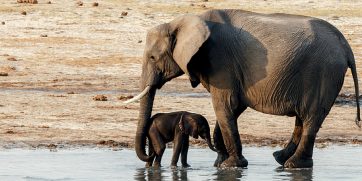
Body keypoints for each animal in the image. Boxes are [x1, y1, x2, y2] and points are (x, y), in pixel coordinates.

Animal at [123, 9, 360, 168]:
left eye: (153, 58)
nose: (149, 156)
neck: (182, 21)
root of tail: (346, 46)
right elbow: (232, 109)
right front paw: (220, 163)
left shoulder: (221, 61)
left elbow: (225, 106)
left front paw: (232, 165)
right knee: (302, 119)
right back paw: (280, 158)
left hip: (324, 73)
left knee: (311, 118)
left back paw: (294, 165)